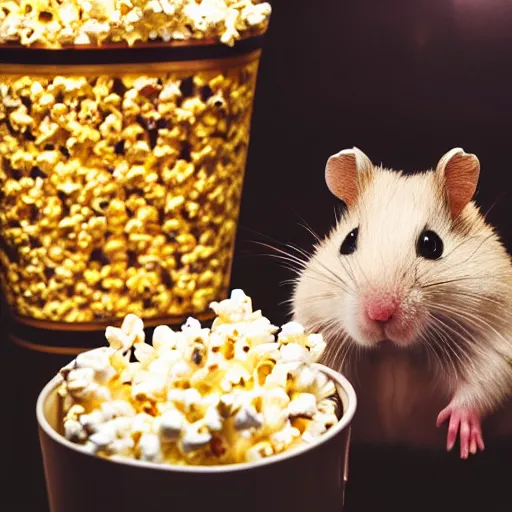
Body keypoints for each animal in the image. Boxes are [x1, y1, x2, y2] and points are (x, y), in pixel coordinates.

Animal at [290, 146, 512, 458]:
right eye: (349, 241)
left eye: (432, 244)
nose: (379, 314)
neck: (394, 351)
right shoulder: (318, 322)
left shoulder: (494, 336)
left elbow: (482, 385)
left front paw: (461, 440)